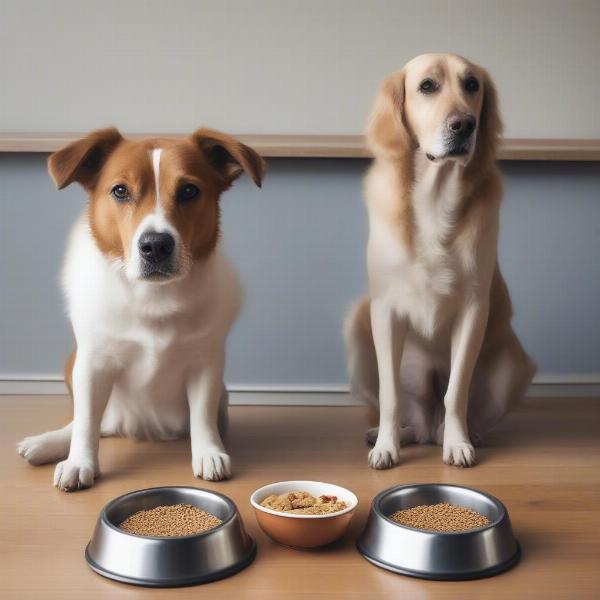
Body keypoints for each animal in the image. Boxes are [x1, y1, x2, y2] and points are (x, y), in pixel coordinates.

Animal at [17, 129, 264, 490]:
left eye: (189, 190)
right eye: (120, 191)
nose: (156, 245)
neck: (153, 297)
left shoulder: (205, 365)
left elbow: (202, 417)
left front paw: (208, 452)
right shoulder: (92, 363)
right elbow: (86, 422)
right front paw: (79, 462)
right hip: (74, 367)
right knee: (89, 422)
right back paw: (46, 443)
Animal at [344, 54, 536, 468]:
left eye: (472, 85)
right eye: (427, 86)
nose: (464, 124)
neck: (435, 199)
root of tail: (427, 428)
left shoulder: (474, 310)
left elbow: (455, 392)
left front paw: (458, 443)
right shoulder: (384, 310)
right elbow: (389, 394)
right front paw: (386, 447)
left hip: (513, 366)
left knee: (449, 416)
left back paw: (462, 435)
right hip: (358, 329)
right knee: (409, 420)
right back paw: (387, 434)